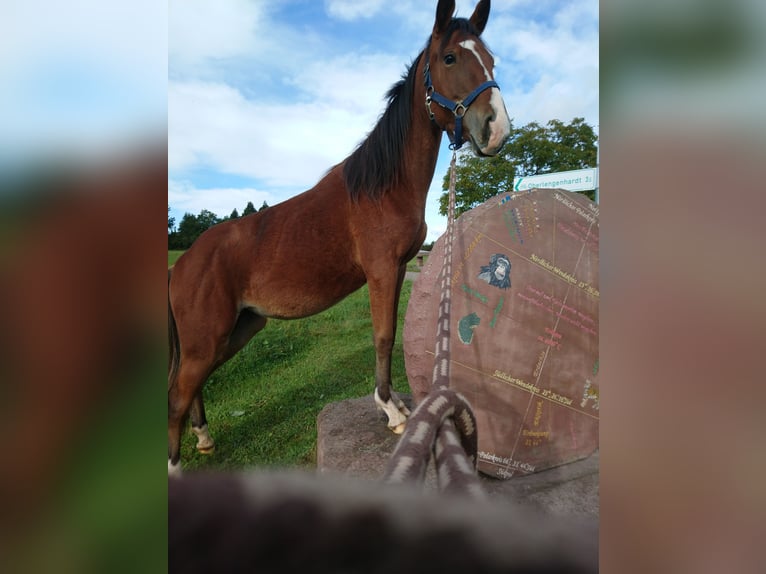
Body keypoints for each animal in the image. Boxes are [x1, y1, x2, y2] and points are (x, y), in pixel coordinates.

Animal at [168, 0, 511, 476]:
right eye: (449, 58)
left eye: (492, 60)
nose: (497, 129)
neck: (382, 186)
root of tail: (180, 265)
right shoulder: (381, 270)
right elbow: (383, 335)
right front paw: (392, 411)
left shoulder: (398, 267)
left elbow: (390, 333)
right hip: (209, 337)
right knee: (178, 394)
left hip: (234, 332)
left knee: (192, 385)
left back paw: (203, 438)